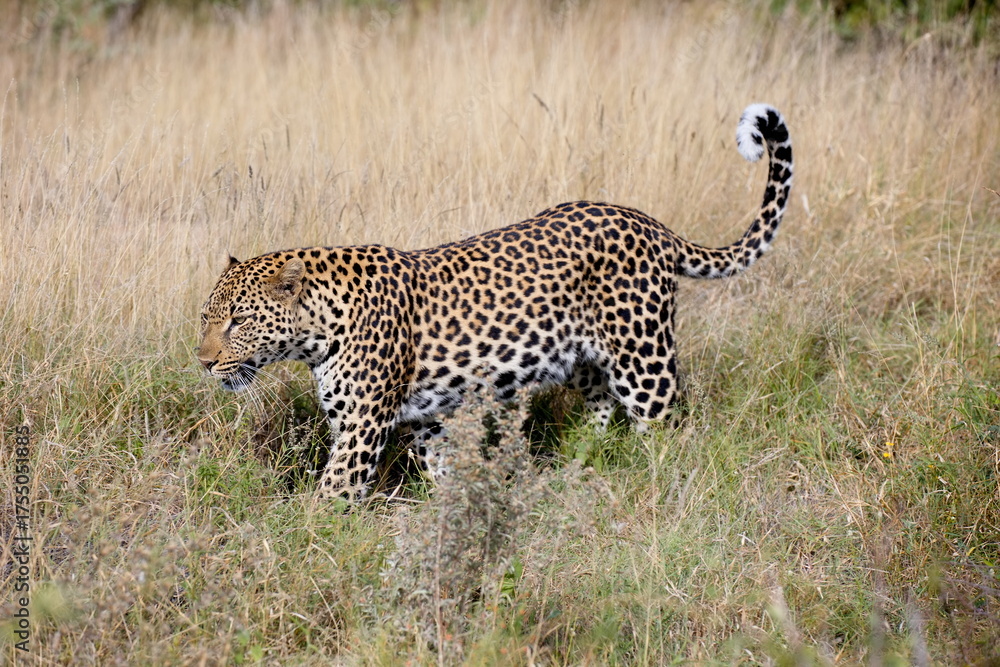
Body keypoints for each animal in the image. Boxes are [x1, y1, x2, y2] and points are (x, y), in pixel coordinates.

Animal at [197, 103, 793, 502]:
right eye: (206, 318)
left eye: (239, 321)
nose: (203, 362)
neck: (318, 331)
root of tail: (649, 221)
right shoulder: (427, 420)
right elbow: (444, 471)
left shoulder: (364, 426)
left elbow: (333, 493)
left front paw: (305, 540)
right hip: (584, 358)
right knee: (600, 403)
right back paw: (577, 460)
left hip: (644, 360)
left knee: (667, 430)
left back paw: (664, 484)